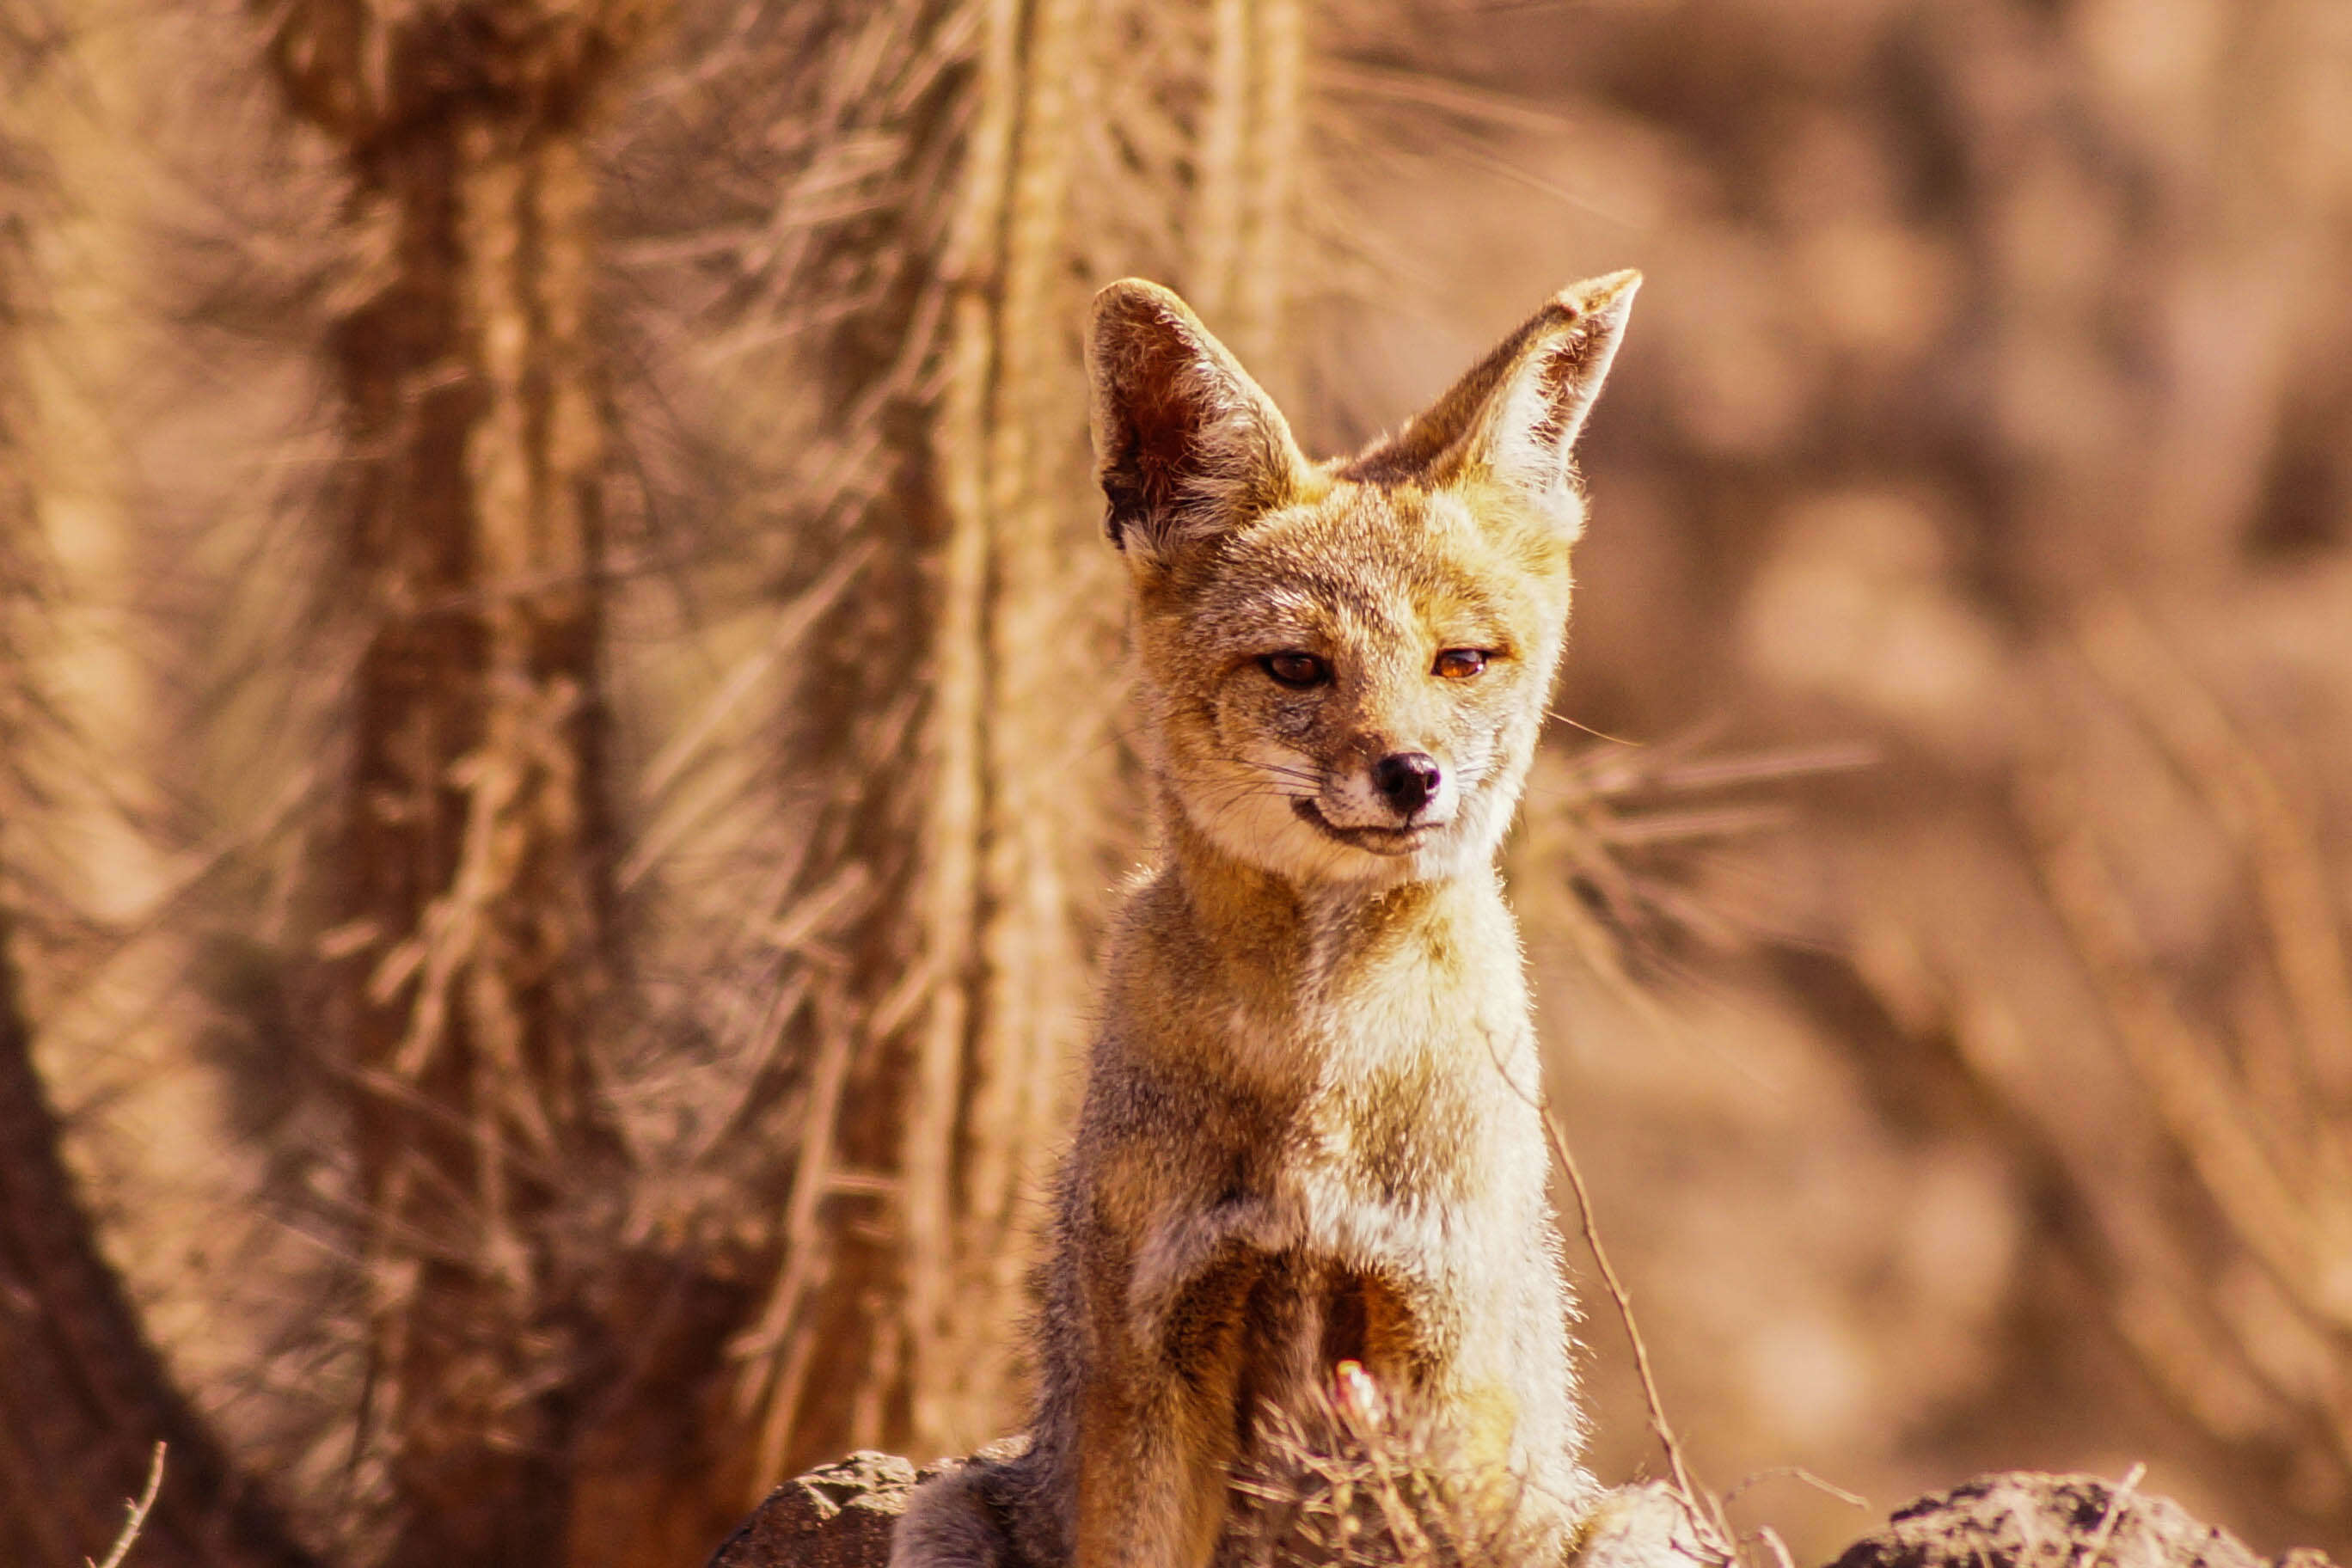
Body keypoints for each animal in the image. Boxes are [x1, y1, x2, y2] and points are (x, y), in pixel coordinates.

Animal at [889, 270, 1646, 1568]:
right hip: (942, 1514)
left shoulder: (1437, 1348)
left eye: (1462, 661)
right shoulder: (1156, 1355)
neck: (1317, 1057)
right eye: (1296, 668)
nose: (1412, 776)